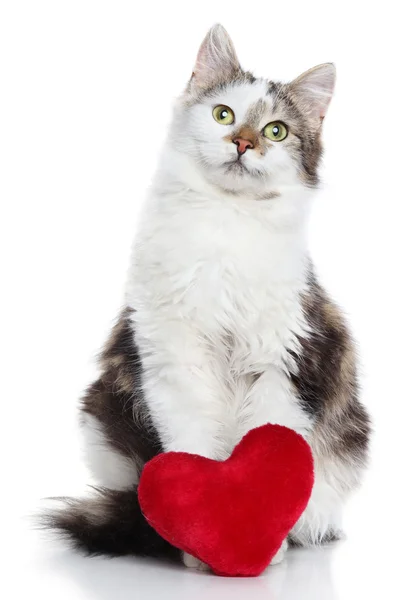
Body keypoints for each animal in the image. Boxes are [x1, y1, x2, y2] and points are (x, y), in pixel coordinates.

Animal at [46, 22, 370, 568]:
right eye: (224, 114)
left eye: (276, 131)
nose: (242, 142)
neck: (225, 221)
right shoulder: (174, 357)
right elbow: (195, 450)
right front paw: (202, 548)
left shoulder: (281, 360)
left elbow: (271, 447)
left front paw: (262, 546)